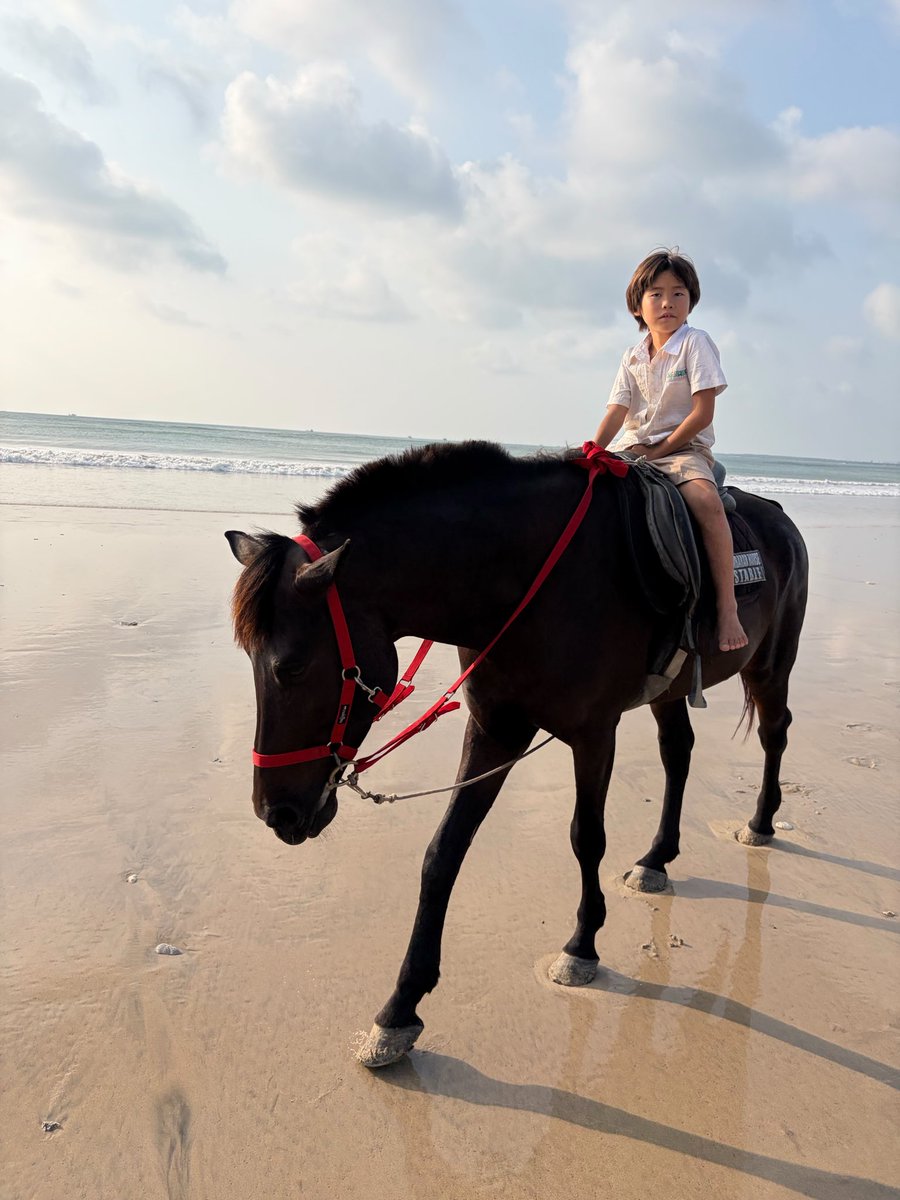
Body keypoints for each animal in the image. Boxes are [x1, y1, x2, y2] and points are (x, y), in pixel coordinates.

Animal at [225, 441, 808, 1067]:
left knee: (774, 733)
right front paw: (400, 1008)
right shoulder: (494, 731)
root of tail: (780, 517)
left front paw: (581, 946)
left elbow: (586, 838)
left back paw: (761, 821)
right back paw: (657, 858)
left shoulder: (594, 734)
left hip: (771, 664)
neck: (524, 583)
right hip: (672, 691)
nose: (277, 813)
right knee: (678, 753)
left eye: (290, 667)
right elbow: (442, 854)